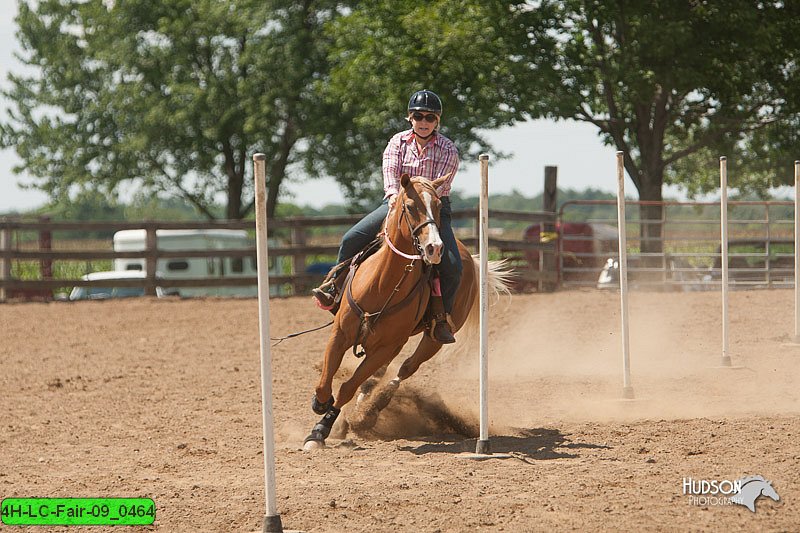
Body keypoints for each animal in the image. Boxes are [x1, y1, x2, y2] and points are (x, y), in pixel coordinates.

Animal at [304, 172, 510, 446]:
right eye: (410, 206)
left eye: (439, 206)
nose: (435, 247)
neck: (382, 285)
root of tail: (472, 260)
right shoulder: (340, 334)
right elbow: (325, 381)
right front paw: (321, 405)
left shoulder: (387, 346)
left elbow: (347, 387)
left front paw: (322, 429)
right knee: (379, 375)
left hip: (433, 340)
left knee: (405, 368)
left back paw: (371, 411)